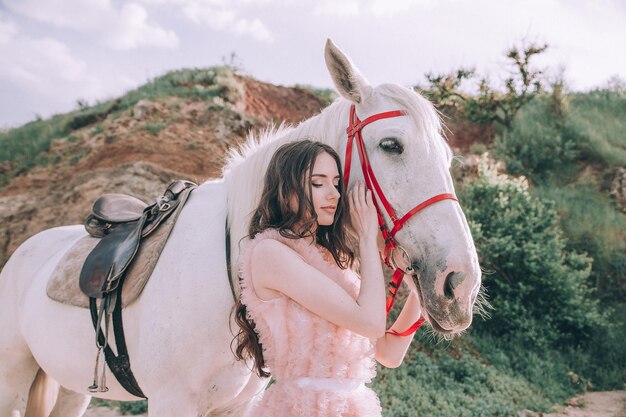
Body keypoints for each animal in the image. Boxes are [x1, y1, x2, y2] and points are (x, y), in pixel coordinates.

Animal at [0, 39, 478, 416]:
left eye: (448, 158)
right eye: (391, 145)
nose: (460, 284)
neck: (231, 262)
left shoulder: (237, 405)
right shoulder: (172, 402)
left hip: (71, 386)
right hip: (13, 380)